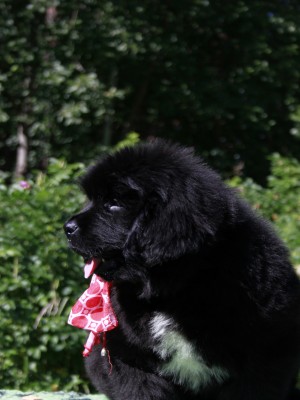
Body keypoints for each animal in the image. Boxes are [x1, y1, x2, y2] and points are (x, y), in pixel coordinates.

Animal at [64, 141, 300, 400]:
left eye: (113, 203)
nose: (67, 227)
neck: (173, 287)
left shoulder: (265, 353)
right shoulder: (126, 358)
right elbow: (140, 389)